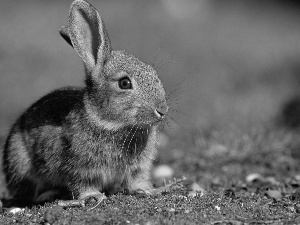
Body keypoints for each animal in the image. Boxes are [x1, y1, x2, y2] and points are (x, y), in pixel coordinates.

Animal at [1, 0, 169, 206]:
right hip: (20, 162)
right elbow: (82, 184)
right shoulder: (78, 168)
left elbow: (137, 181)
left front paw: (149, 190)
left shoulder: (138, 168)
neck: (109, 123)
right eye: (124, 83)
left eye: (154, 73)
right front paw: (92, 197)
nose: (162, 110)